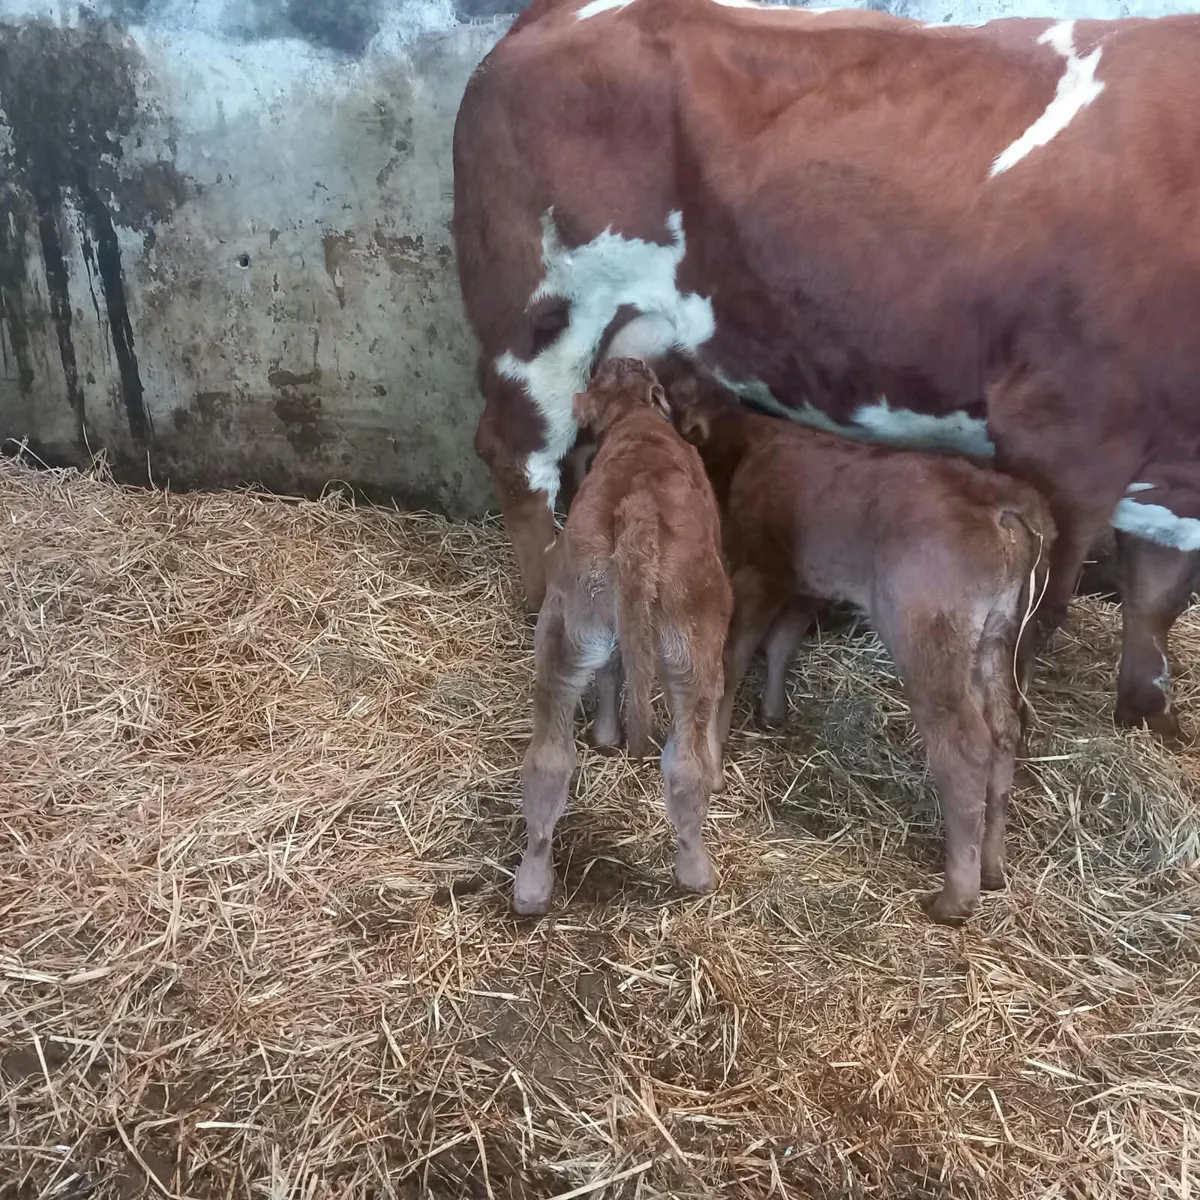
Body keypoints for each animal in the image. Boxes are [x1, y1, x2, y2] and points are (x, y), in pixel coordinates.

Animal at [452, 0, 1200, 740]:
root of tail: (549, 16)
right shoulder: (1062, 436)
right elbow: (1041, 614)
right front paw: (1017, 715)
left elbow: (1159, 596)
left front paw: (1151, 714)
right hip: (541, 318)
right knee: (519, 461)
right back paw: (542, 600)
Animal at [512, 357, 732, 916]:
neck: (637, 419)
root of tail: (638, 514)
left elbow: (613, 670)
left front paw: (607, 736)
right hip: (695, 642)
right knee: (687, 761)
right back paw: (698, 873)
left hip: (568, 634)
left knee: (549, 760)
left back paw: (532, 886)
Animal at [661, 361, 1054, 922]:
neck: (746, 445)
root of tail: (1001, 501)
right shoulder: (806, 582)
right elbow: (783, 641)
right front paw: (773, 712)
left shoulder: (762, 570)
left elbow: (732, 660)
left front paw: (714, 768)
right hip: (996, 638)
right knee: (1003, 731)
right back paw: (994, 866)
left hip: (927, 636)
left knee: (964, 748)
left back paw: (956, 897)